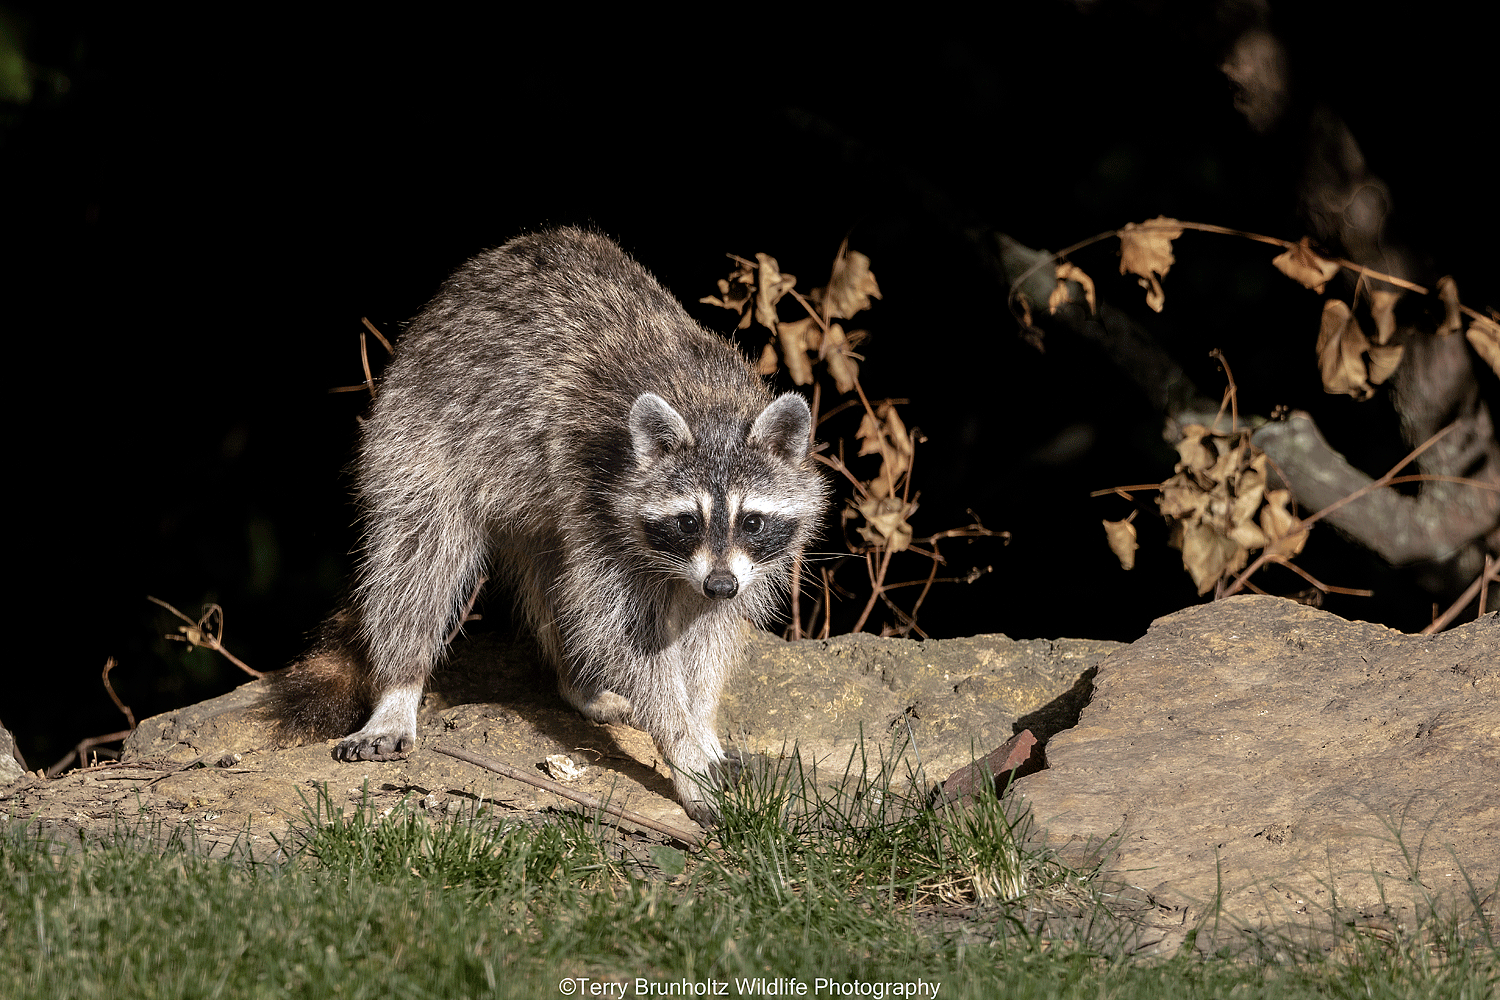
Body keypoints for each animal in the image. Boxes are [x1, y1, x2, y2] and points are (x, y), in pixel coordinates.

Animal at [270, 227, 828, 824]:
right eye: (686, 521)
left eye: (752, 520)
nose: (721, 585)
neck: (710, 406)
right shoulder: (599, 493)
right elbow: (624, 635)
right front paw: (684, 748)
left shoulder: (714, 565)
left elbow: (703, 635)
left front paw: (701, 726)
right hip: (419, 429)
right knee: (420, 555)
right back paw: (400, 685)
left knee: (554, 577)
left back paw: (576, 683)